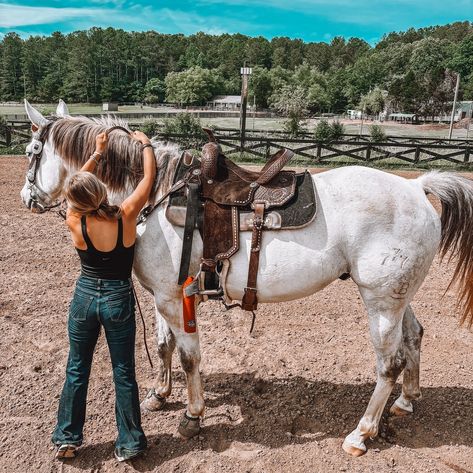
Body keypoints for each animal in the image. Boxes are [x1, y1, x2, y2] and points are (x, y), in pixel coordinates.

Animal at [20, 100, 472, 458]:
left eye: (32, 151)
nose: (27, 199)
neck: (155, 194)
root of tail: (416, 188)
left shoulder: (172, 297)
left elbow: (188, 356)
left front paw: (193, 415)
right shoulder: (163, 296)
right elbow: (165, 346)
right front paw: (158, 395)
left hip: (380, 302)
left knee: (388, 364)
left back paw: (360, 434)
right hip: (397, 296)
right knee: (413, 337)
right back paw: (406, 403)